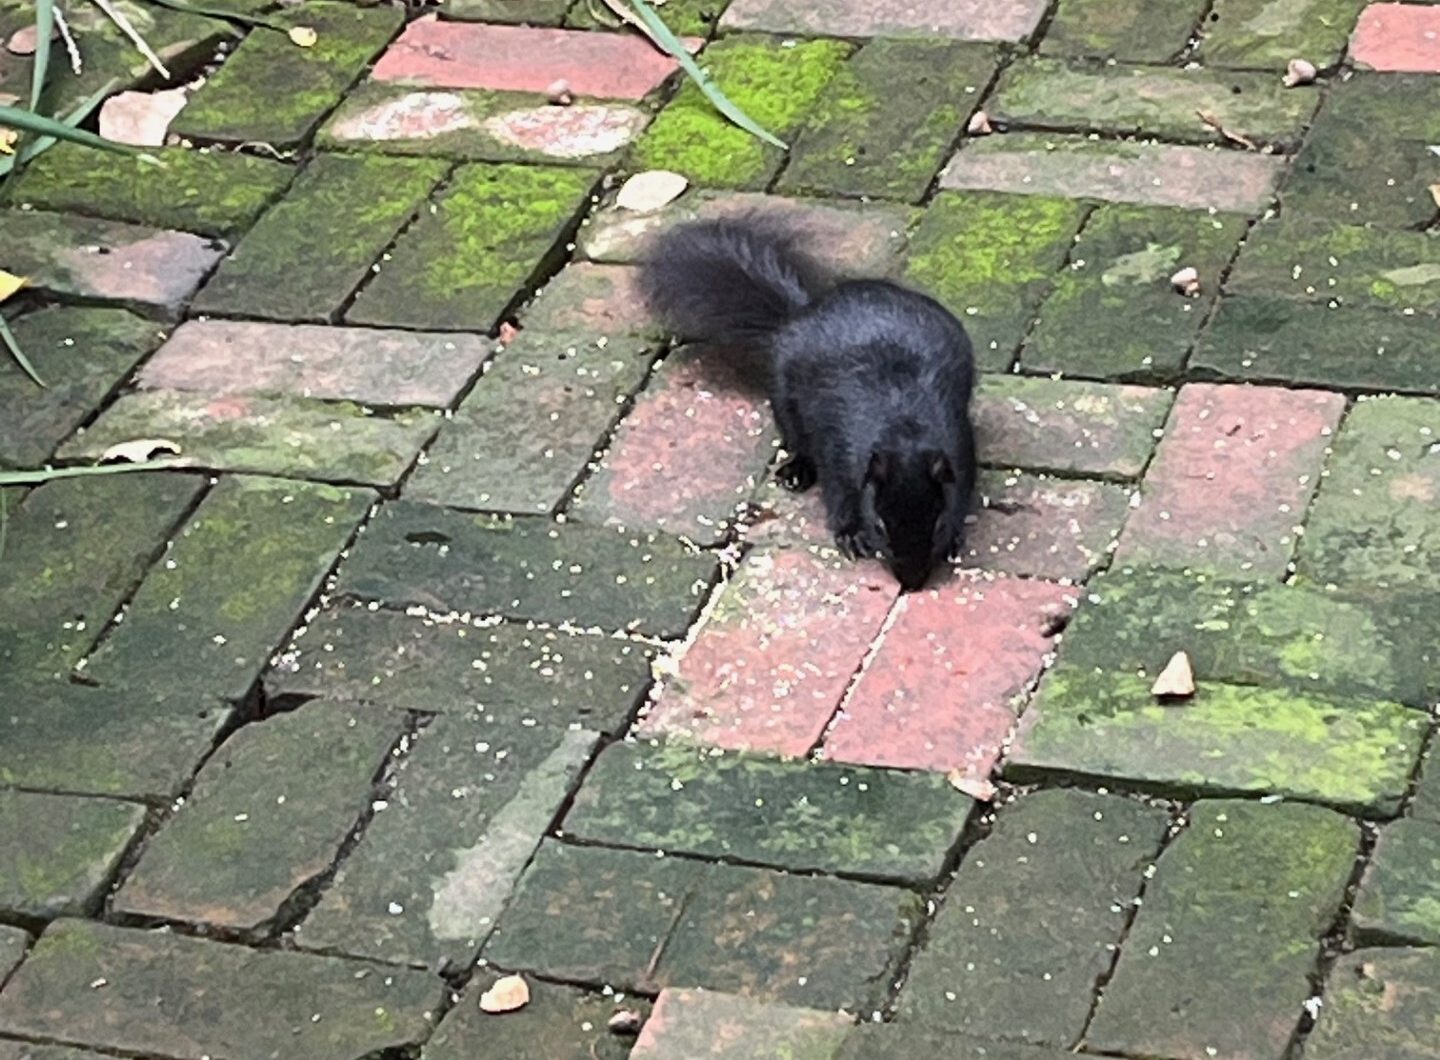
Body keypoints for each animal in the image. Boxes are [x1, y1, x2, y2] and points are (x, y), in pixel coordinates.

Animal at [638, 214, 977, 591]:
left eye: (937, 523)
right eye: (880, 526)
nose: (912, 582)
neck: (903, 426)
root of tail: (802, 313)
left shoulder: (959, 445)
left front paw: (954, 538)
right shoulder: (837, 449)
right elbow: (838, 491)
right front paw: (850, 533)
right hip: (784, 399)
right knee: (798, 441)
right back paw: (796, 471)